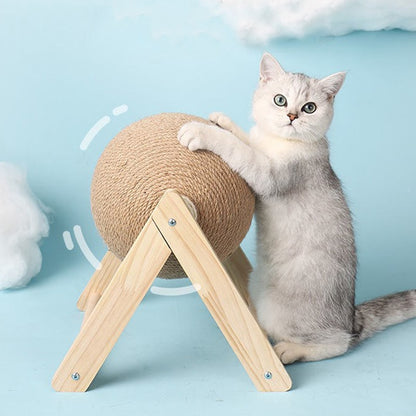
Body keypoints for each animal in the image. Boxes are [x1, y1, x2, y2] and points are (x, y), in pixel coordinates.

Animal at [176, 52, 416, 364]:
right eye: (280, 100)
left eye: (309, 107)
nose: (292, 116)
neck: (279, 142)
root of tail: (352, 317)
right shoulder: (260, 147)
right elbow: (245, 139)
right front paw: (221, 120)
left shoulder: (268, 175)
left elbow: (237, 148)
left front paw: (201, 132)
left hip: (286, 314)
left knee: (338, 343)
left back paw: (288, 351)